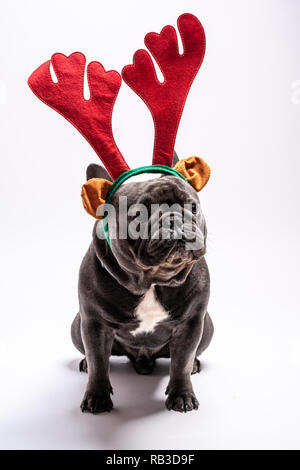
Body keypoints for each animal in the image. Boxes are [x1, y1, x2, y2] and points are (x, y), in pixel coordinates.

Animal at [71, 152, 213, 414]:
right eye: (138, 214)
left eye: (192, 207)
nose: (173, 220)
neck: (151, 280)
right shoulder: (94, 324)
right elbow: (98, 364)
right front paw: (97, 397)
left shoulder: (191, 323)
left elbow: (181, 362)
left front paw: (182, 395)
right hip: (77, 327)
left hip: (207, 327)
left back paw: (195, 364)